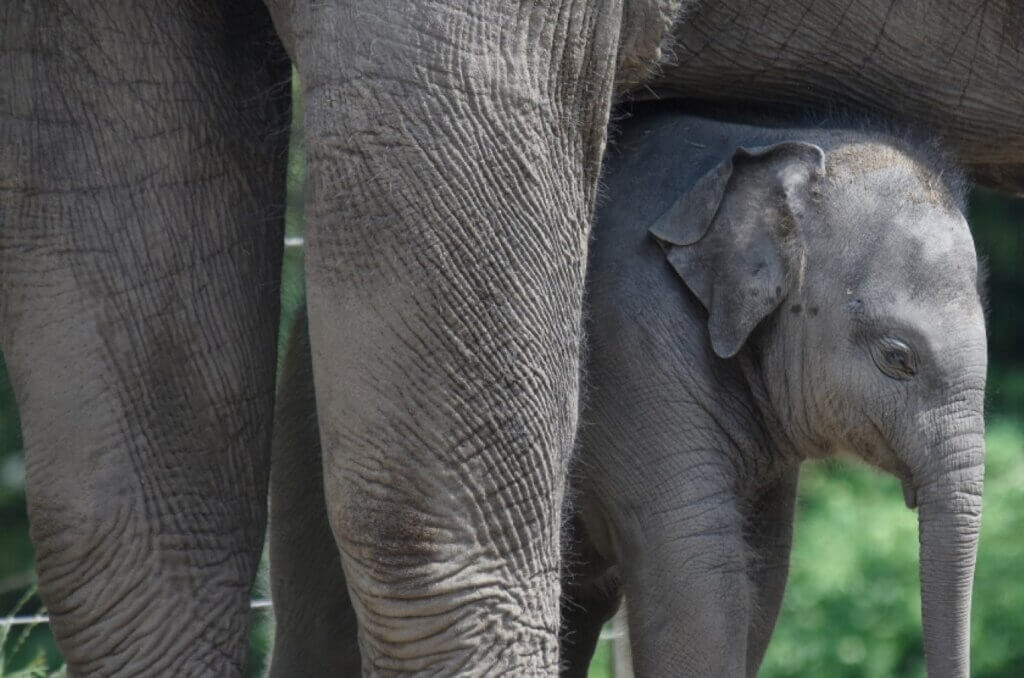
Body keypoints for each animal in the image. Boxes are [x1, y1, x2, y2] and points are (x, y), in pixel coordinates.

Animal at [266, 106, 988, 676]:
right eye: (898, 359)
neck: (769, 147)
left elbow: (762, 572)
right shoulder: (632, 342)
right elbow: (699, 565)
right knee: (319, 615)